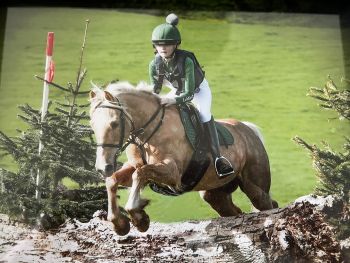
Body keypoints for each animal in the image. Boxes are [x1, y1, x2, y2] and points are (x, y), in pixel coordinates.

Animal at [89, 81, 278, 236]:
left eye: (114, 123)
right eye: (92, 125)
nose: (102, 167)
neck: (150, 130)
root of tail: (249, 131)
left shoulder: (173, 173)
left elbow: (140, 174)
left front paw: (139, 218)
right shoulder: (134, 166)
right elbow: (114, 180)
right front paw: (119, 223)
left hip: (255, 187)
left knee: (269, 205)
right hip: (214, 194)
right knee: (234, 212)